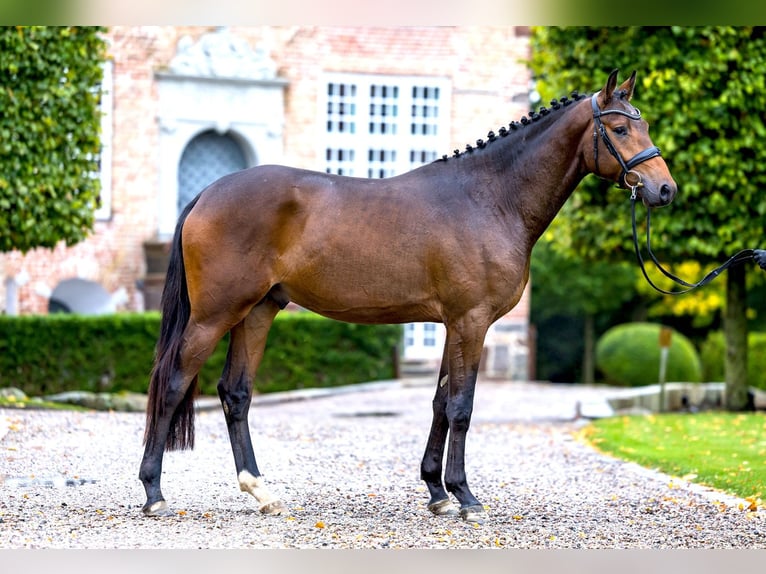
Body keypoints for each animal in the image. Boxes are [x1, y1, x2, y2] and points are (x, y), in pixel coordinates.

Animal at [138, 70, 680, 524]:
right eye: (620, 128)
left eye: (646, 124)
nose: (665, 189)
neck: (490, 198)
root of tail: (207, 194)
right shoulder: (472, 322)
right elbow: (461, 405)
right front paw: (465, 496)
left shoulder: (454, 324)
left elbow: (440, 402)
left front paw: (437, 492)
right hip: (214, 315)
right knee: (172, 382)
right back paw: (154, 493)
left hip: (257, 311)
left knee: (236, 393)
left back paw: (261, 491)